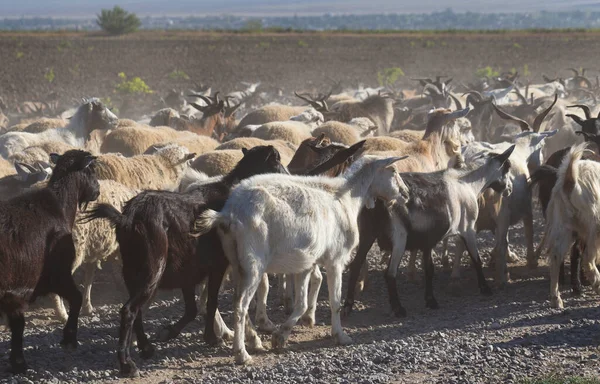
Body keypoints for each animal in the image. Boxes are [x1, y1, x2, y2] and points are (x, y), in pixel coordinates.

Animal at [0, 149, 99, 372]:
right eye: (90, 170)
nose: (97, 190)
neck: (59, 207)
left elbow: (17, 325)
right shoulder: (57, 275)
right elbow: (76, 298)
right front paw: (69, 339)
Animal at [191, 154, 408, 364]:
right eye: (393, 170)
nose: (405, 194)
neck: (346, 198)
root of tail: (228, 214)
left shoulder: (306, 264)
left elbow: (301, 302)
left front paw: (281, 336)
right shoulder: (335, 260)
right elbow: (335, 301)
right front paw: (340, 335)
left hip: (235, 261)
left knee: (234, 300)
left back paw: (253, 339)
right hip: (253, 263)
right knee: (240, 306)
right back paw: (241, 353)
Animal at [344, 145, 512, 318]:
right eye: (506, 168)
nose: (509, 189)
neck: (467, 183)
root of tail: (377, 200)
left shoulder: (427, 241)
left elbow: (429, 270)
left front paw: (430, 300)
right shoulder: (468, 229)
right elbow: (476, 259)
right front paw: (485, 288)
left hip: (367, 234)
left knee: (355, 266)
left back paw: (348, 306)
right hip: (399, 238)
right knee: (389, 273)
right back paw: (398, 308)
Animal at [540, 143, 600, 308]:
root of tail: (569, 179)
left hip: (563, 224)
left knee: (555, 255)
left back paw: (556, 299)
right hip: (593, 224)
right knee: (587, 257)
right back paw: (596, 284)